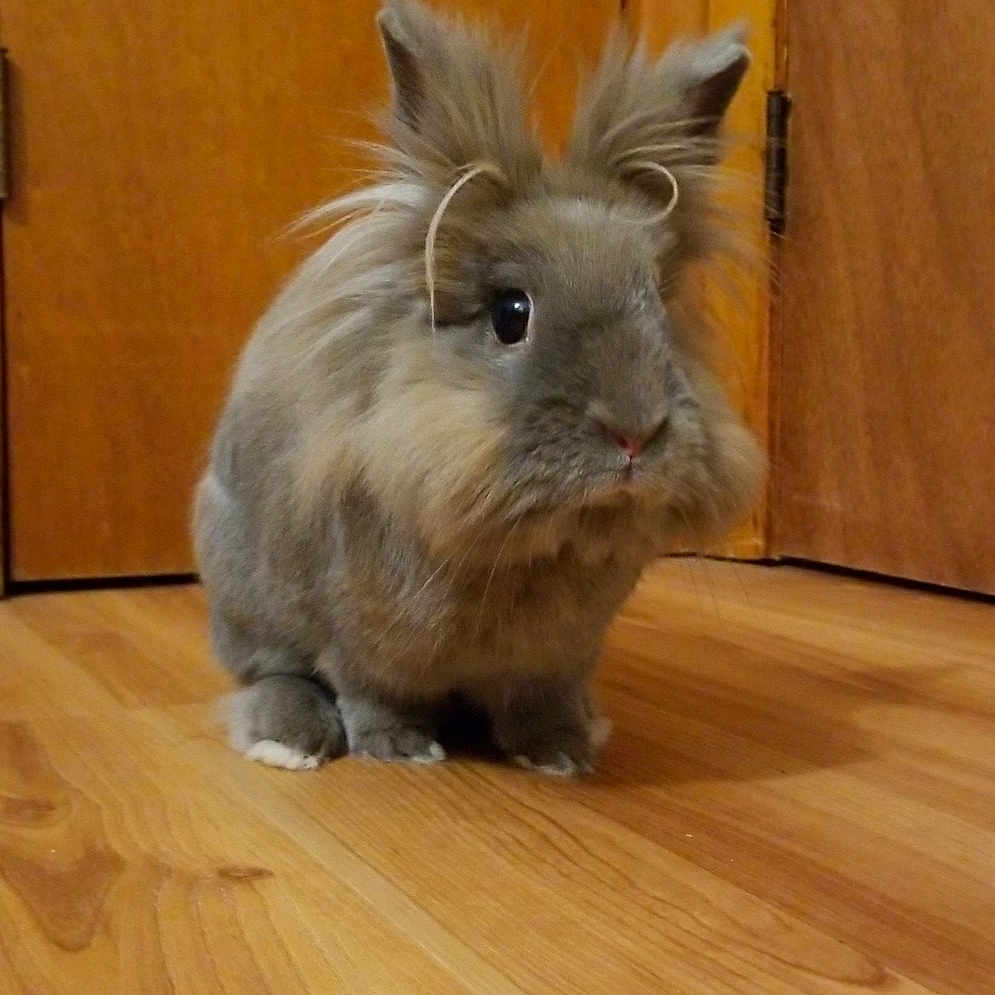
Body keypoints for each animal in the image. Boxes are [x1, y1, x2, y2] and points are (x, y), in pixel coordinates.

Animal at [193, 0, 763, 776]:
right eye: (510, 314)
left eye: (662, 310)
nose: (633, 432)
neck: (529, 550)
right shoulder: (362, 638)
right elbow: (370, 691)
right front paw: (401, 749)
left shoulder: (555, 660)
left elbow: (538, 703)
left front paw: (560, 754)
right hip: (246, 595)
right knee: (271, 673)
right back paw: (288, 740)